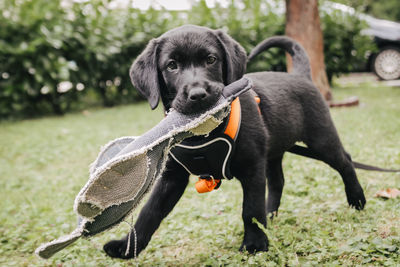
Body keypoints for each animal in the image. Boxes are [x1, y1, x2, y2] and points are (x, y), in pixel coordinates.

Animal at [102, 25, 366, 260]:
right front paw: (127, 247)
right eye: (171, 65)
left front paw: (254, 244)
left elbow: (249, 209)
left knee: (345, 161)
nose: (198, 95)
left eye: (211, 59)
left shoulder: (252, 168)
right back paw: (270, 215)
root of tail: (299, 75)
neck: (204, 135)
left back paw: (357, 199)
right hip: (273, 151)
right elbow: (150, 212)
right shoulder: (172, 177)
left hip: (321, 139)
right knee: (278, 181)